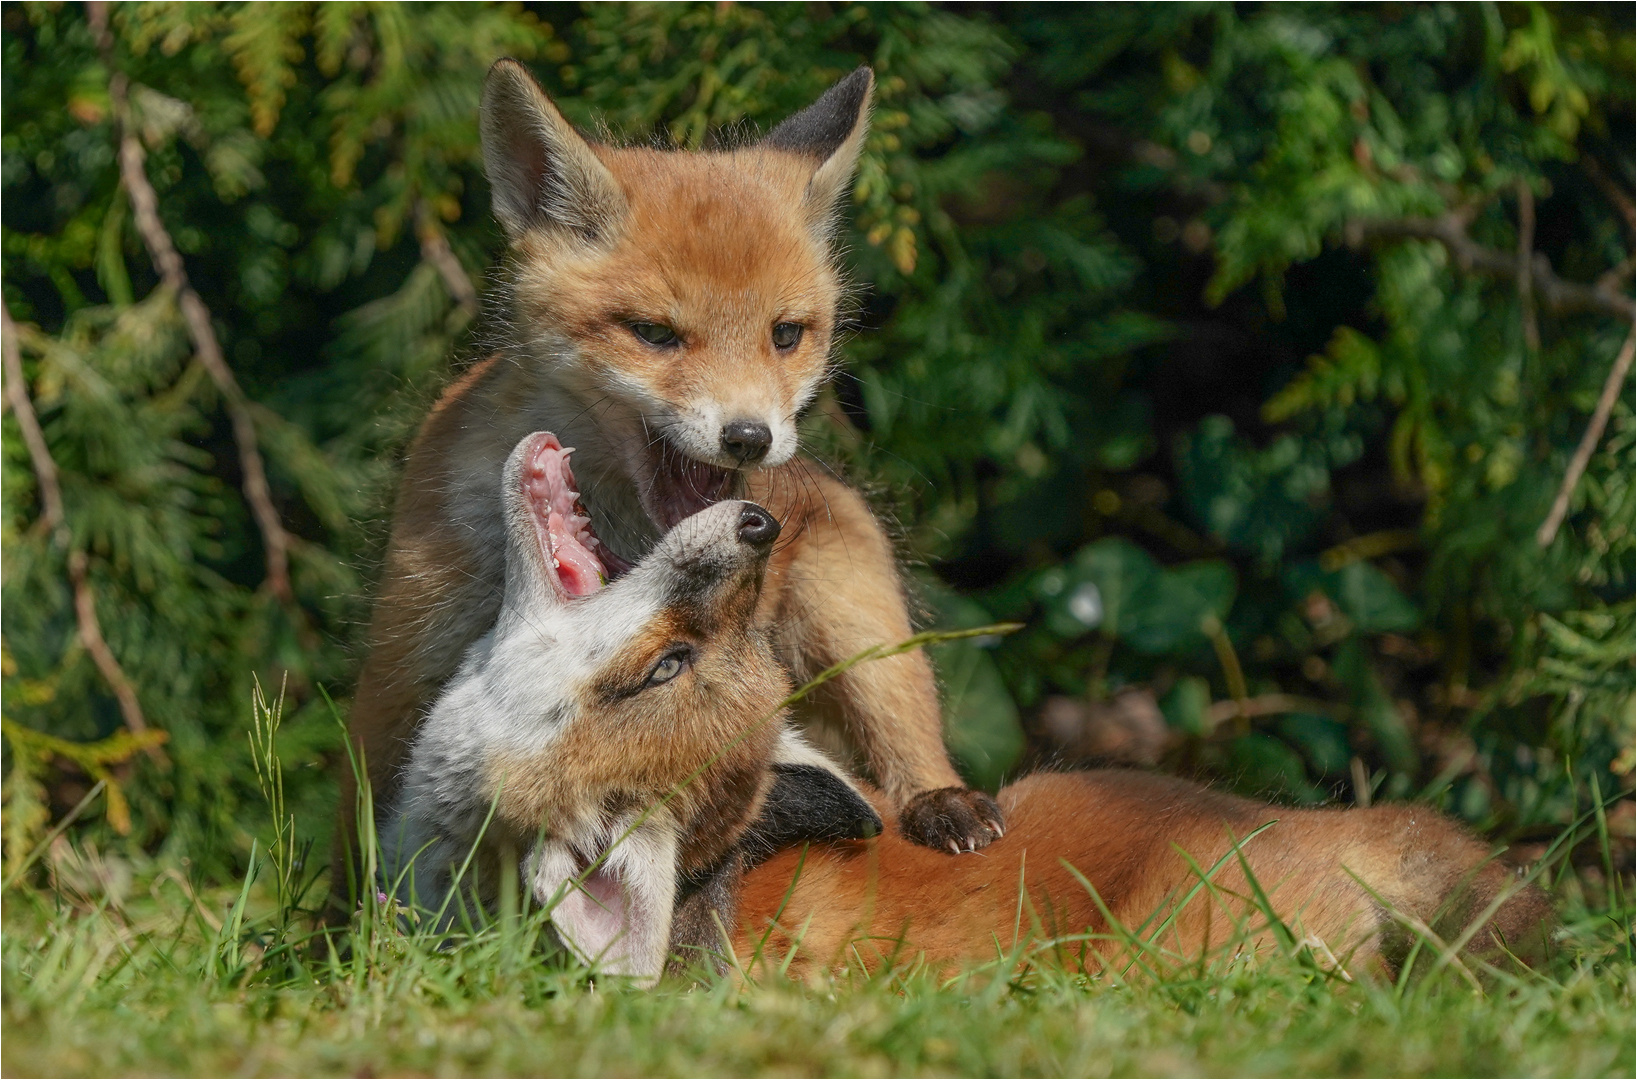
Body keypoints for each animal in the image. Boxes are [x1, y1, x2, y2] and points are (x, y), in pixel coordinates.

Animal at [340, 63, 1001, 903]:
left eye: (785, 335)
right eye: (654, 334)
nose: (749, 437)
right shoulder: (407, 660)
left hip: (855, 611)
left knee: (901, 719)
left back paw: (940, 798)